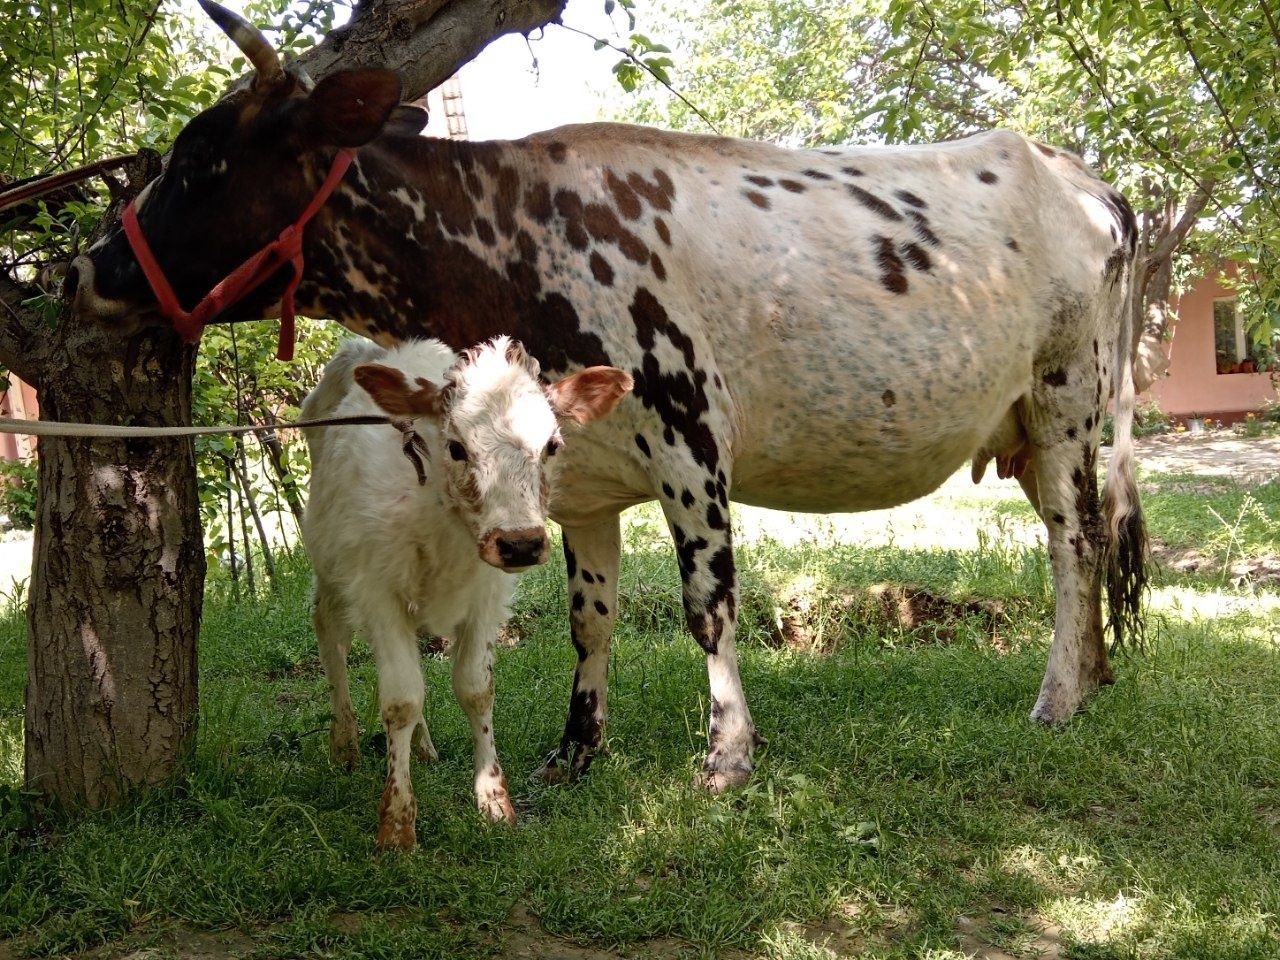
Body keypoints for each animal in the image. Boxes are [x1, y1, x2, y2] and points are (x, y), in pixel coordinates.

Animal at [70, 3, 1152, 793]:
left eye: (203, 162)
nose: (90, 269)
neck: (507, 247)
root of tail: (1080, 174)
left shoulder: (690, 441)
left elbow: (706, 606)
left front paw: (726, 756)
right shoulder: (580, 482)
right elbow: (588, 618)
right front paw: (576, 748)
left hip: (1065, 399)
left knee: (1074, 545)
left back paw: (1058, 697)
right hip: (1027, 428)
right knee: (1091, 540)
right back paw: (1096, 678)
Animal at [299, 337, 629, 849]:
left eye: (552, 445)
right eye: (456, 447)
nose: (520, 543)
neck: (443, 519)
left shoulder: (485, 598)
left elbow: (475, 689)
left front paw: (494, 800)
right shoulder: (377, 591)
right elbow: (400, 699)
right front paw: (397, 824)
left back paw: (422, 745)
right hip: (332, 567)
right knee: (331, 637)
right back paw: (344, 743)